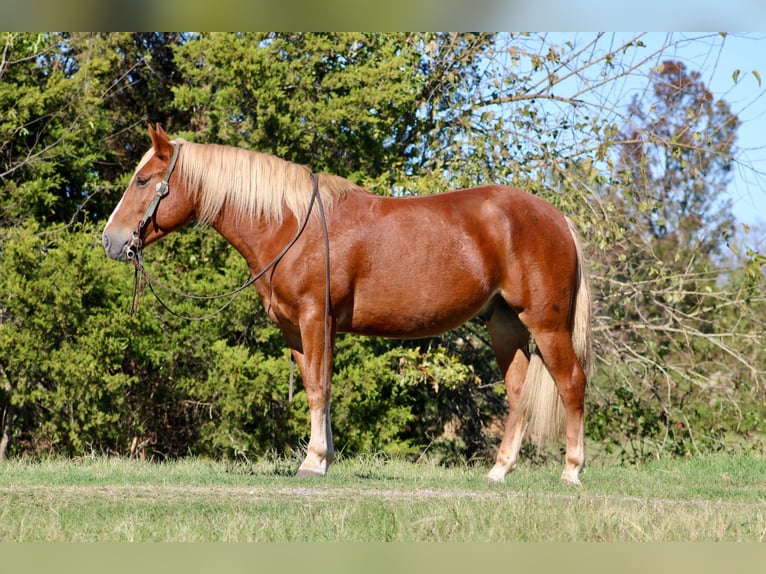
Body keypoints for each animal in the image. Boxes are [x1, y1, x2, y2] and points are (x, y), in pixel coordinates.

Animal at [100, 126, 592, 486]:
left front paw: (313, 460)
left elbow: (319, 389)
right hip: (505, 325)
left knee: (571, 384)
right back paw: (499, 471)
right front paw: (325, 457)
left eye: (143, 181)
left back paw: (571, 472)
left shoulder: (315, 318)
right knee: (518, 393)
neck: (289, 225)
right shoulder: (297, 328)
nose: (110, 240)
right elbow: (318, 385)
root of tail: (556, 217)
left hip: (546, 325)